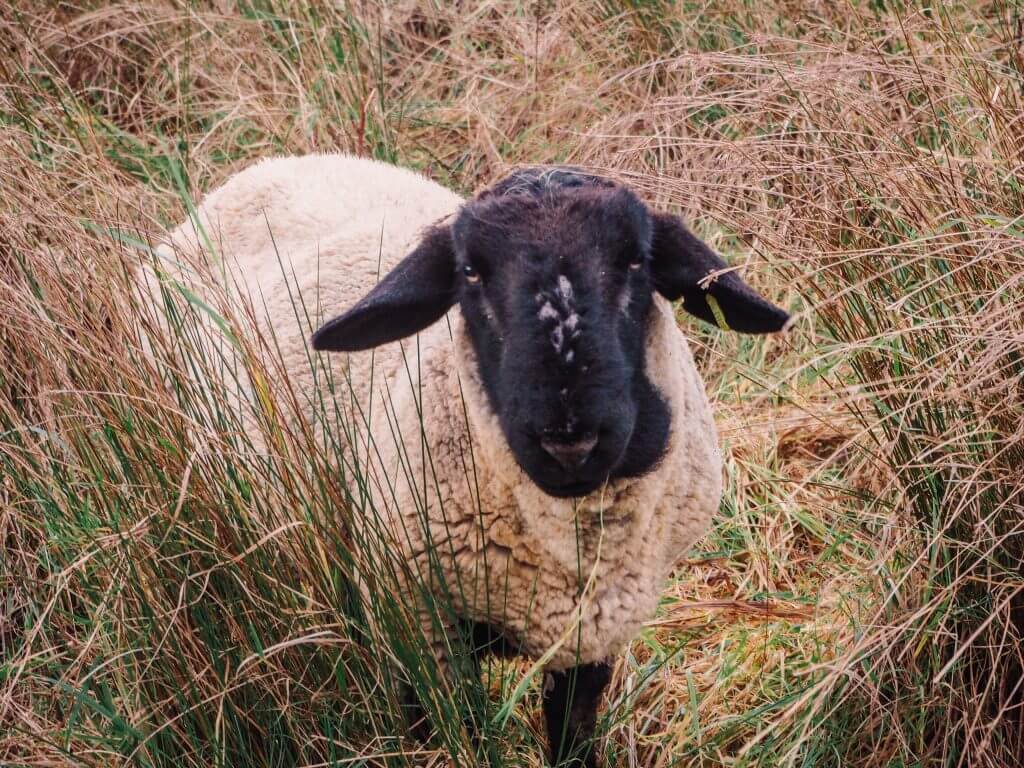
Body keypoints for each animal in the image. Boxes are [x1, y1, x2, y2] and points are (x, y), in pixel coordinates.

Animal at [159, 154, 786, 765]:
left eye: (637, 259)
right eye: (471, 272)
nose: (569, 440)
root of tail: (260, 168)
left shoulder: (595, 634)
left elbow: (573, 741)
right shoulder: (417, 627)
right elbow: (455, 734)